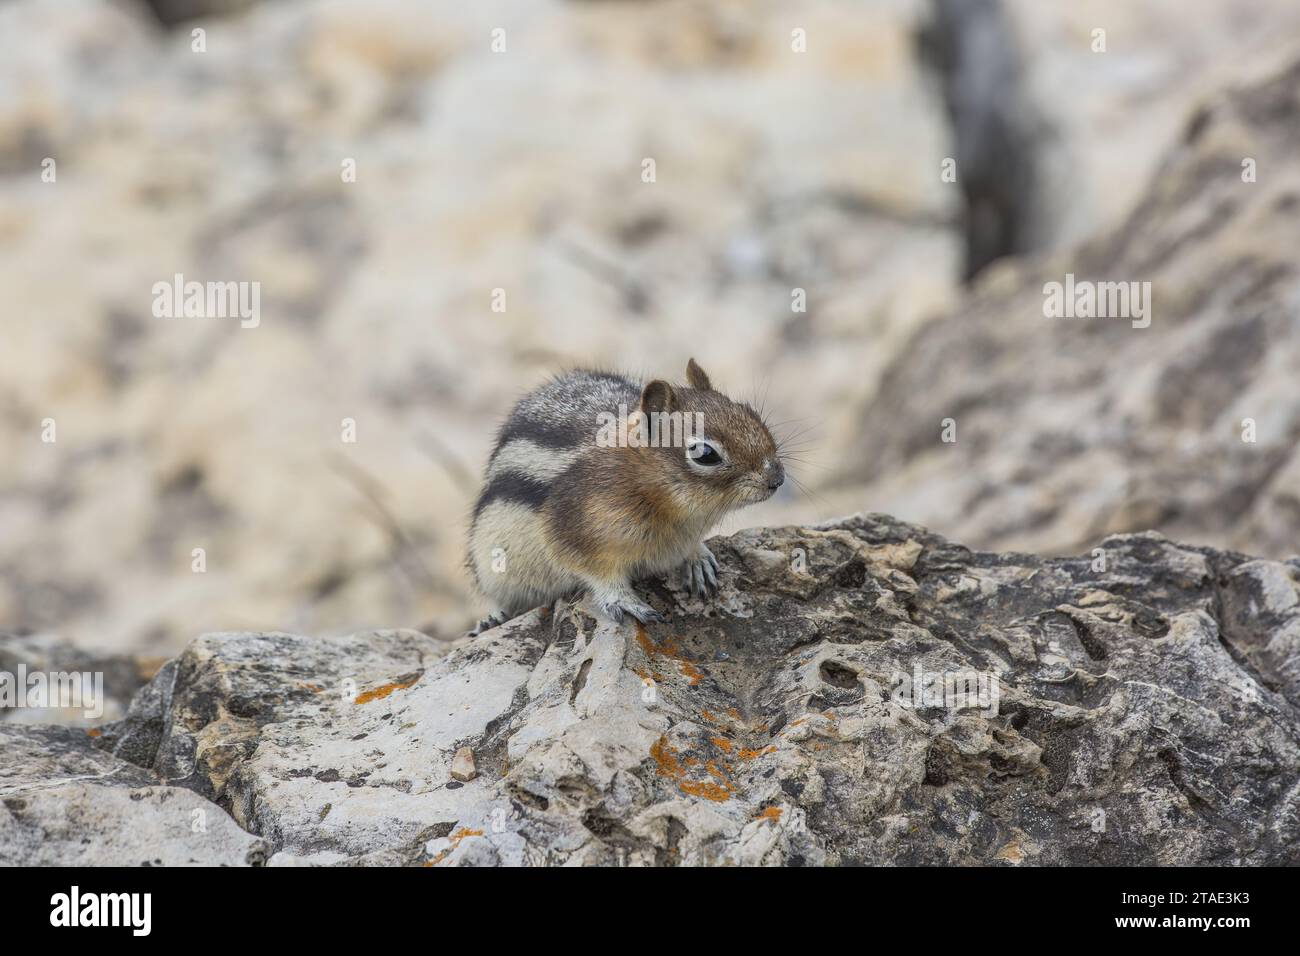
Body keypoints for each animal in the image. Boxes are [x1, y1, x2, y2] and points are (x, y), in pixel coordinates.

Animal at [467, 358, 784, 632]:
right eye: (705, 454)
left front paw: (698, 559)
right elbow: (596, 573)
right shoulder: (573, 530)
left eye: (749, 411)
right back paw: (493, 618)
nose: (777, 479)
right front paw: (624, 600)